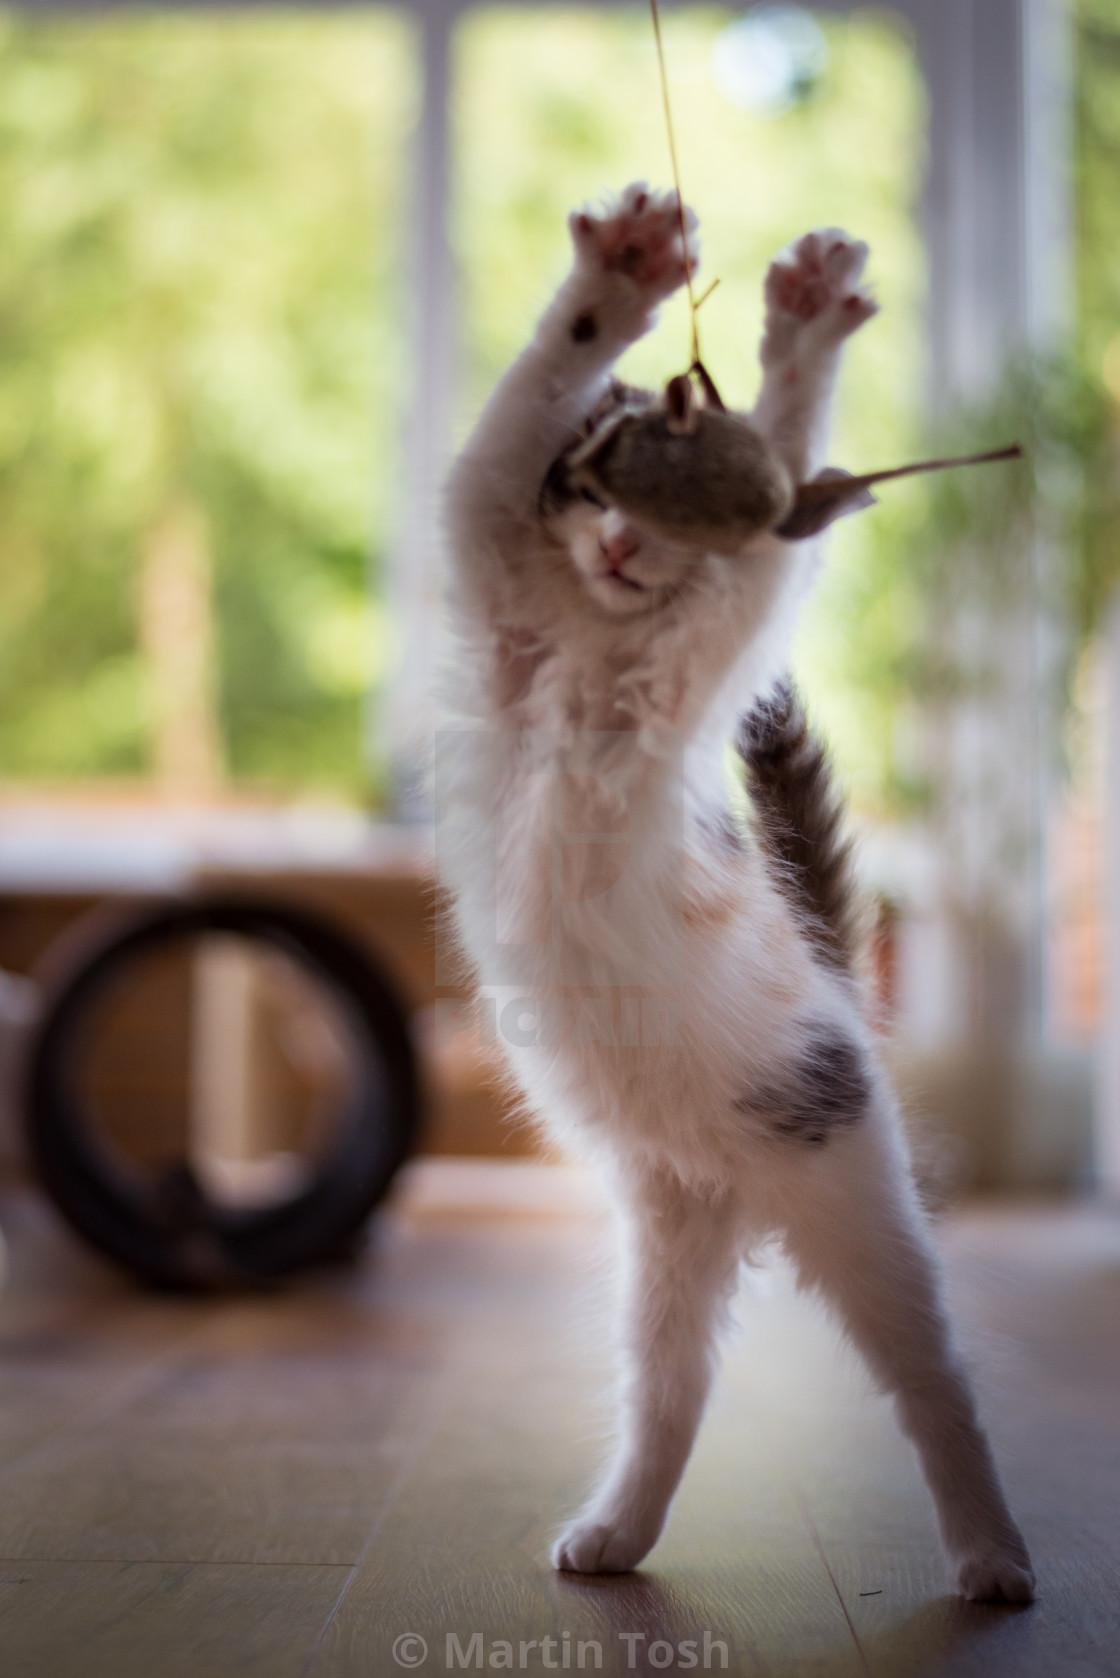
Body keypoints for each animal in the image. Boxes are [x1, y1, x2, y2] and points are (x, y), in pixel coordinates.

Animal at [436, 180, 1034, 1597]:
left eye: (659, 508)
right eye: (584, 480)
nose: (612, 543)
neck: (596, 644)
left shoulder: (731, 618)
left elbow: (778, 503)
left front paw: (798, 333)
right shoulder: (487, 542)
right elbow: (513, 412)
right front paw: (614, 282)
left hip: (857, 1194)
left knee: (936, 1384)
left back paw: (989, 1549)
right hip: (666, 1234)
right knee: (674, 1388)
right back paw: (618, 1528)